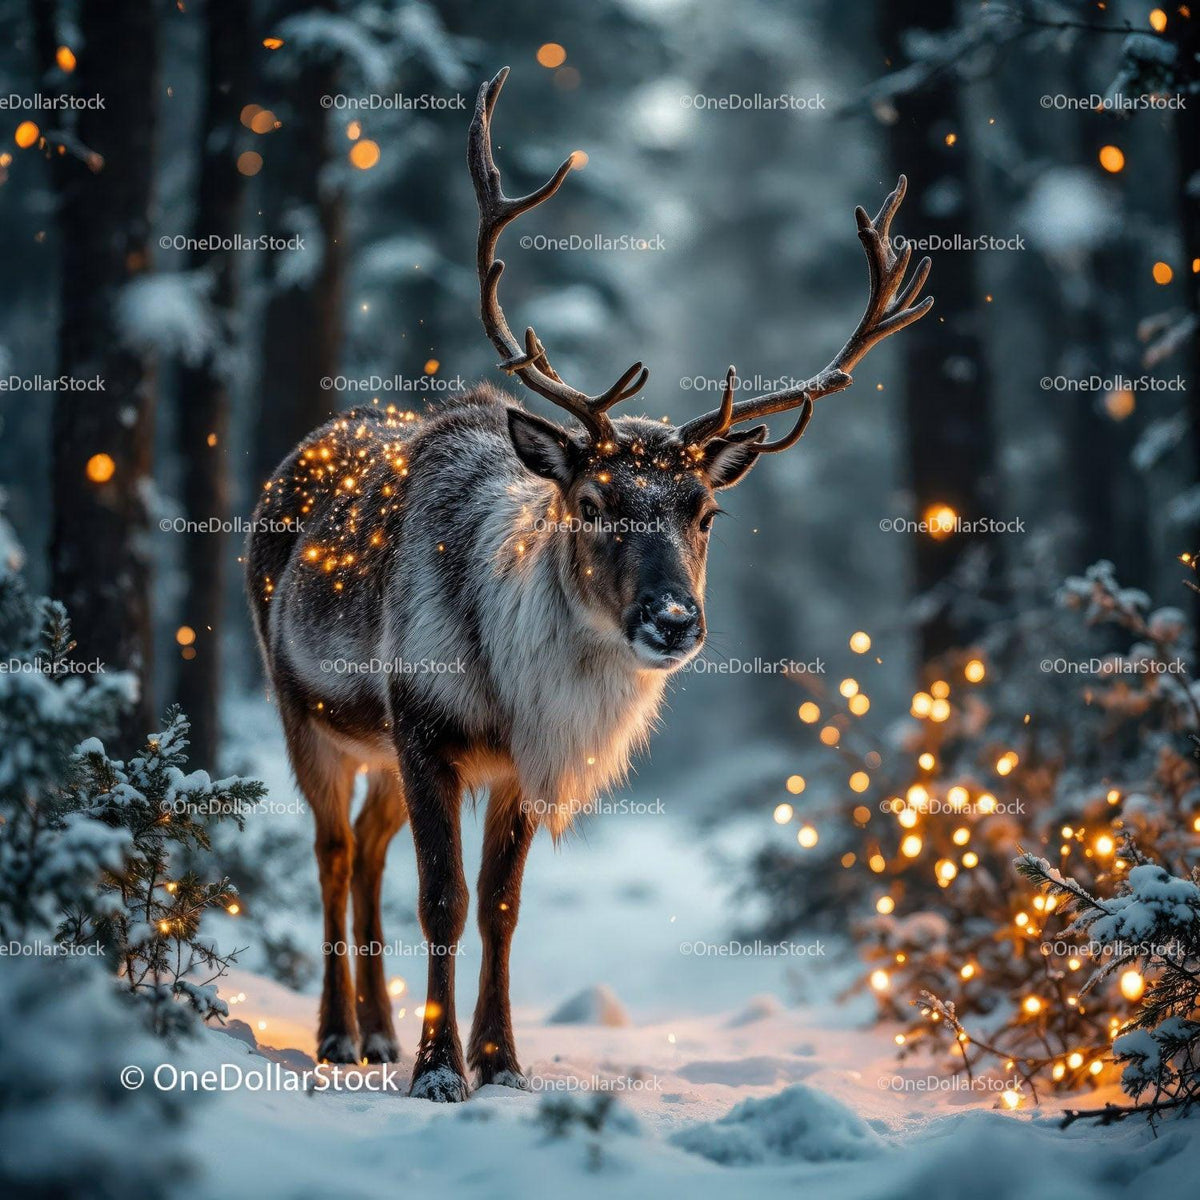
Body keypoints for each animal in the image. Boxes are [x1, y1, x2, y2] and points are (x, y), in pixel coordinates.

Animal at [245, 66, 932, 1101]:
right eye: (596, 499)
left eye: (705, 509)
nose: (675, 620)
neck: (513, 682)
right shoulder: (424, 724)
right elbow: (442, 899)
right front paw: (439, 1072)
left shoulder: (516, 760)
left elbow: (501, 904)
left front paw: (500, 1061)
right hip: (305, 711)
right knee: (331, 852)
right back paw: (337, 1035)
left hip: (376, 749)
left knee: (364, 851)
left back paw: (375, 1033)